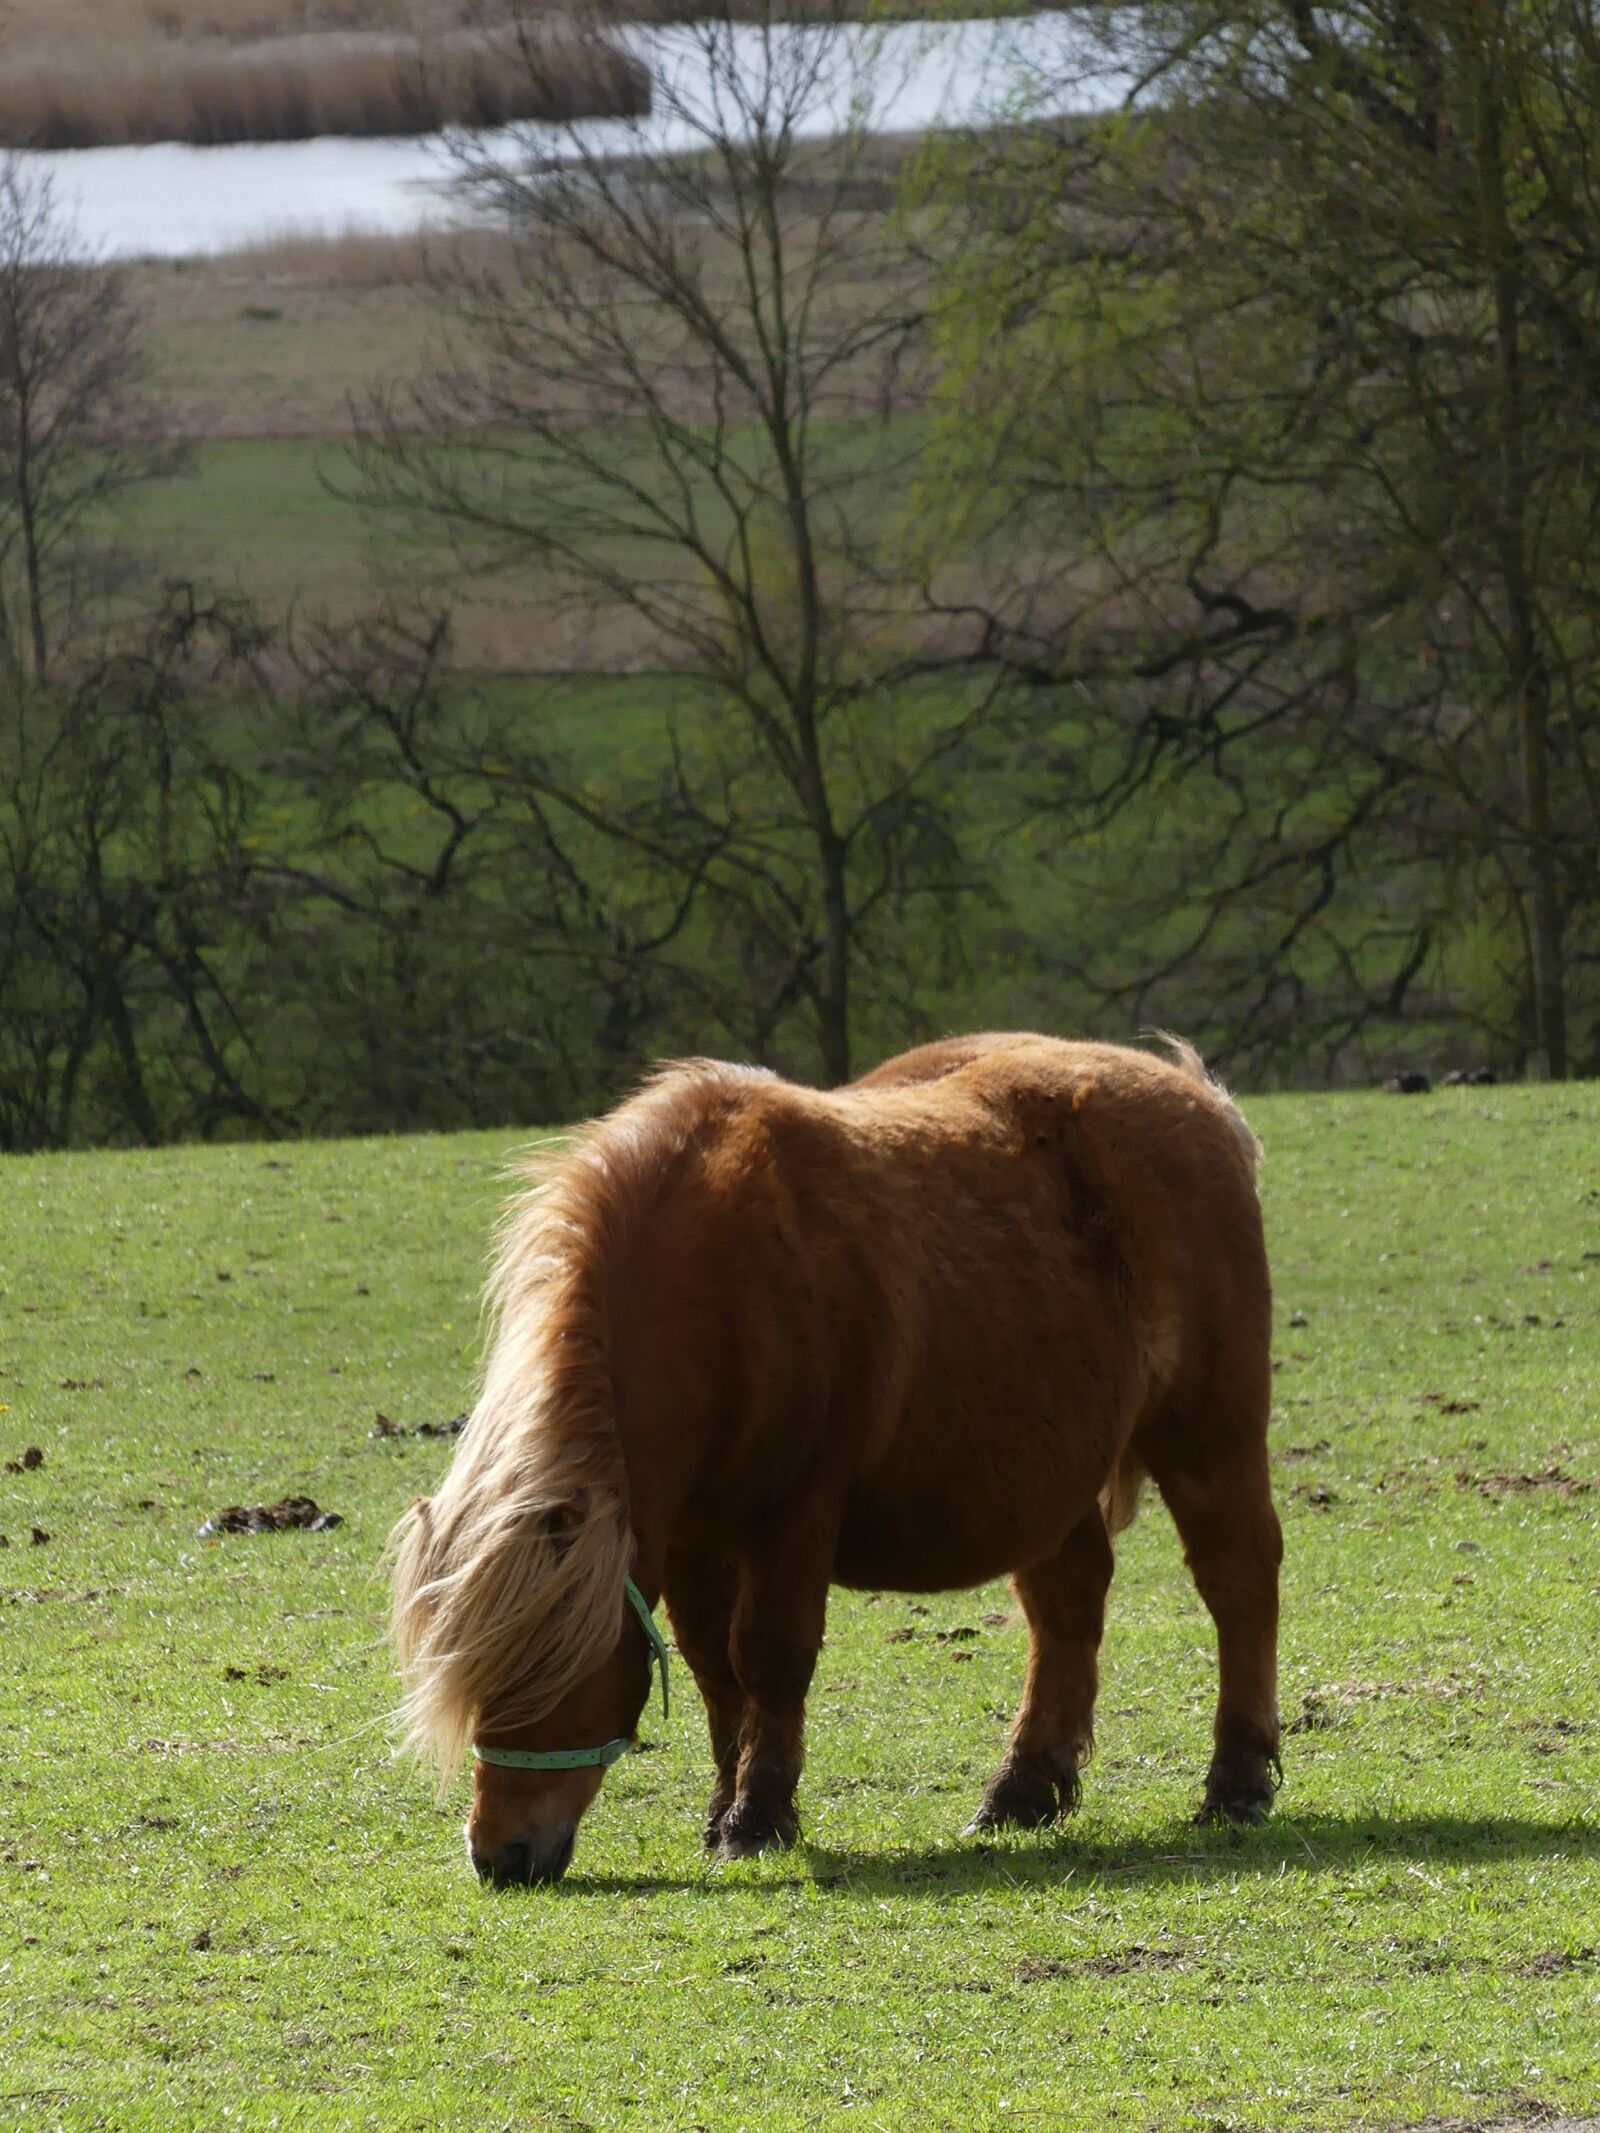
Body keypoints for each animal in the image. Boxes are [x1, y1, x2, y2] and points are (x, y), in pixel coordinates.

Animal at [390, 1031, 1283, 1886]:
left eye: (552, 1674)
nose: (497, 1855)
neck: (722, 1284)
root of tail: (1197, 1095)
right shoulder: (689, 1535)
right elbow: (715, 1667)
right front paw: (722, 1808)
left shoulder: (794, 1515)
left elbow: (771, 1654)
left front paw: (757, 1817)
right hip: (1045, 1474)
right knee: (1068, 1603)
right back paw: (1023, 1789)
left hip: (1208, 1434)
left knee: (1238, 1578)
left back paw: (1237, 1782)